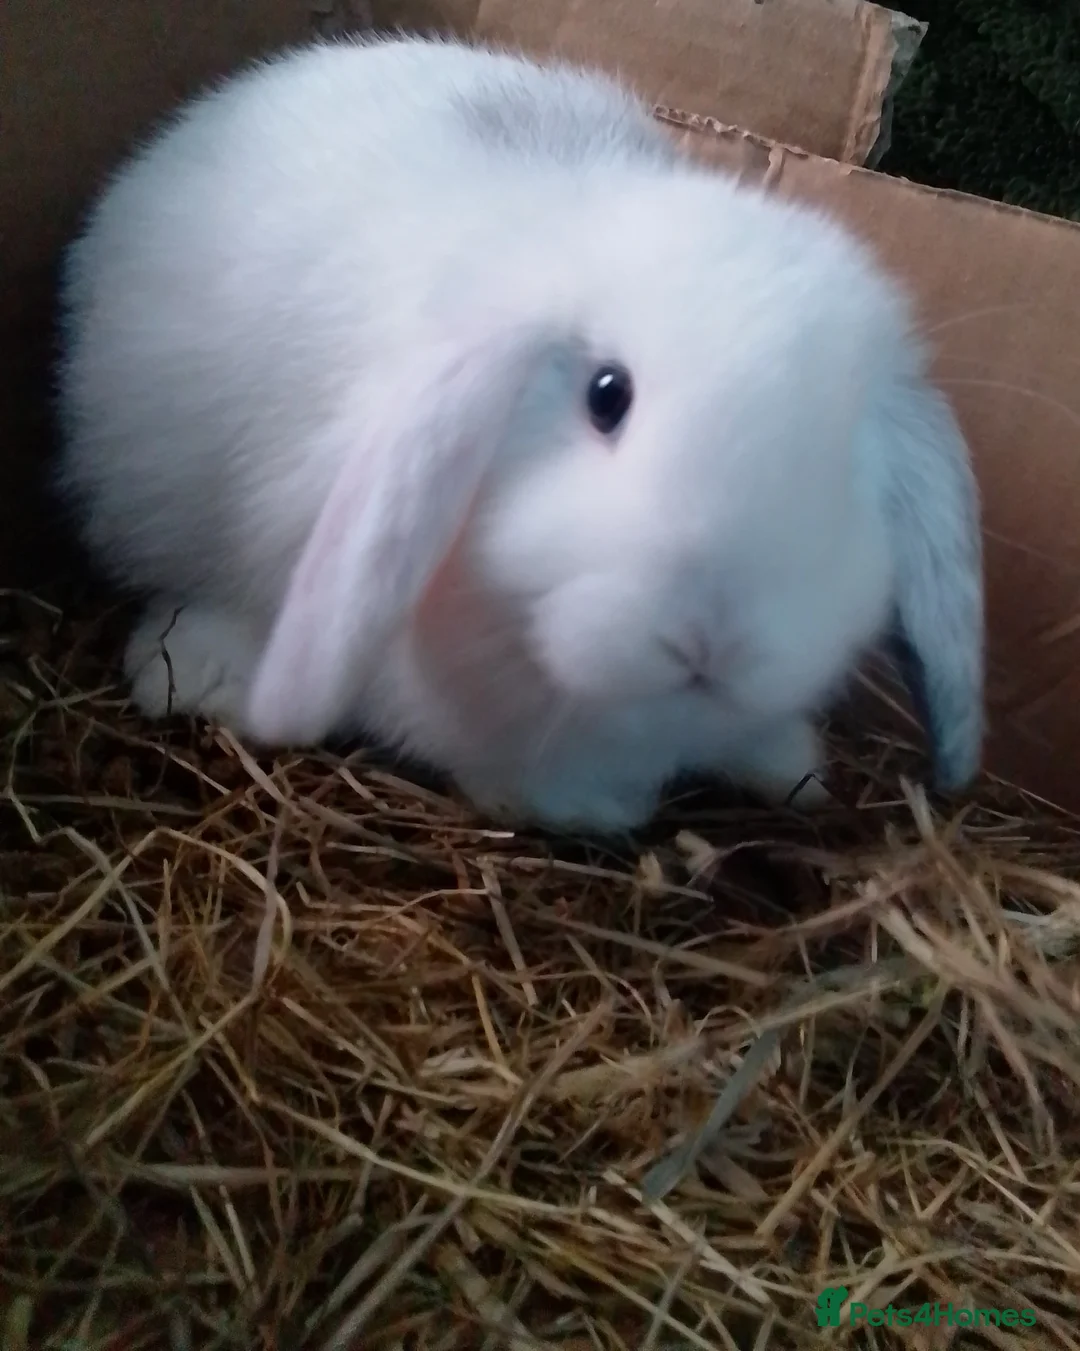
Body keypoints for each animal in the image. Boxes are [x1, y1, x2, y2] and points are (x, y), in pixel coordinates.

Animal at [54, 33, 984, 834]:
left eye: (845, 456)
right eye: (606, 396)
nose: (714, 638)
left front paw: (790, 766)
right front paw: (589, 807)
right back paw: (191, 671)